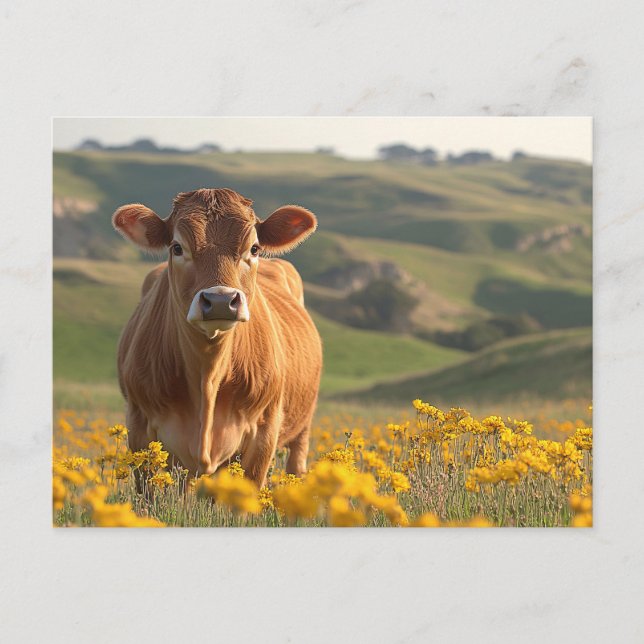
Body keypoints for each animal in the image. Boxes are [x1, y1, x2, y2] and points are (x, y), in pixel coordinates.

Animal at [112, 188, 322, 486]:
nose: (221, 301)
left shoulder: (264, 431)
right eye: (177, 248)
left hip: (303, 426)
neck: (207, 377)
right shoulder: (139, 425)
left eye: (254, 248)